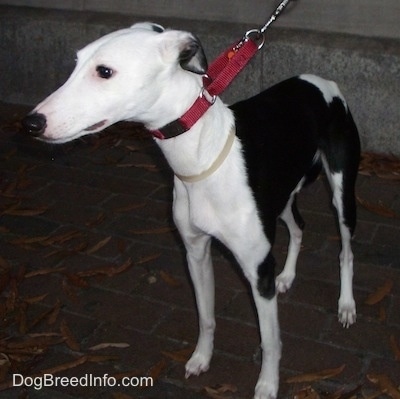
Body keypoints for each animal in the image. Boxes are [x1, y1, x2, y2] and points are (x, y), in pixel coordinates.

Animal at [21, 22, 360, 399]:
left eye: (104, 71)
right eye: (76, 62)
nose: (32, 123)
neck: (201, 156)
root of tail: (324, 83)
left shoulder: (257, 271)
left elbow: (270, 340)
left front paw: (267, 384)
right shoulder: (196, 254)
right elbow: (206, 316)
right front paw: (201, 358)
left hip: (342, 193)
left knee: (345, 249)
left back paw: (346, 305)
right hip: (282, 196)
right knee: (298, 225)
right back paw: (287, 276)